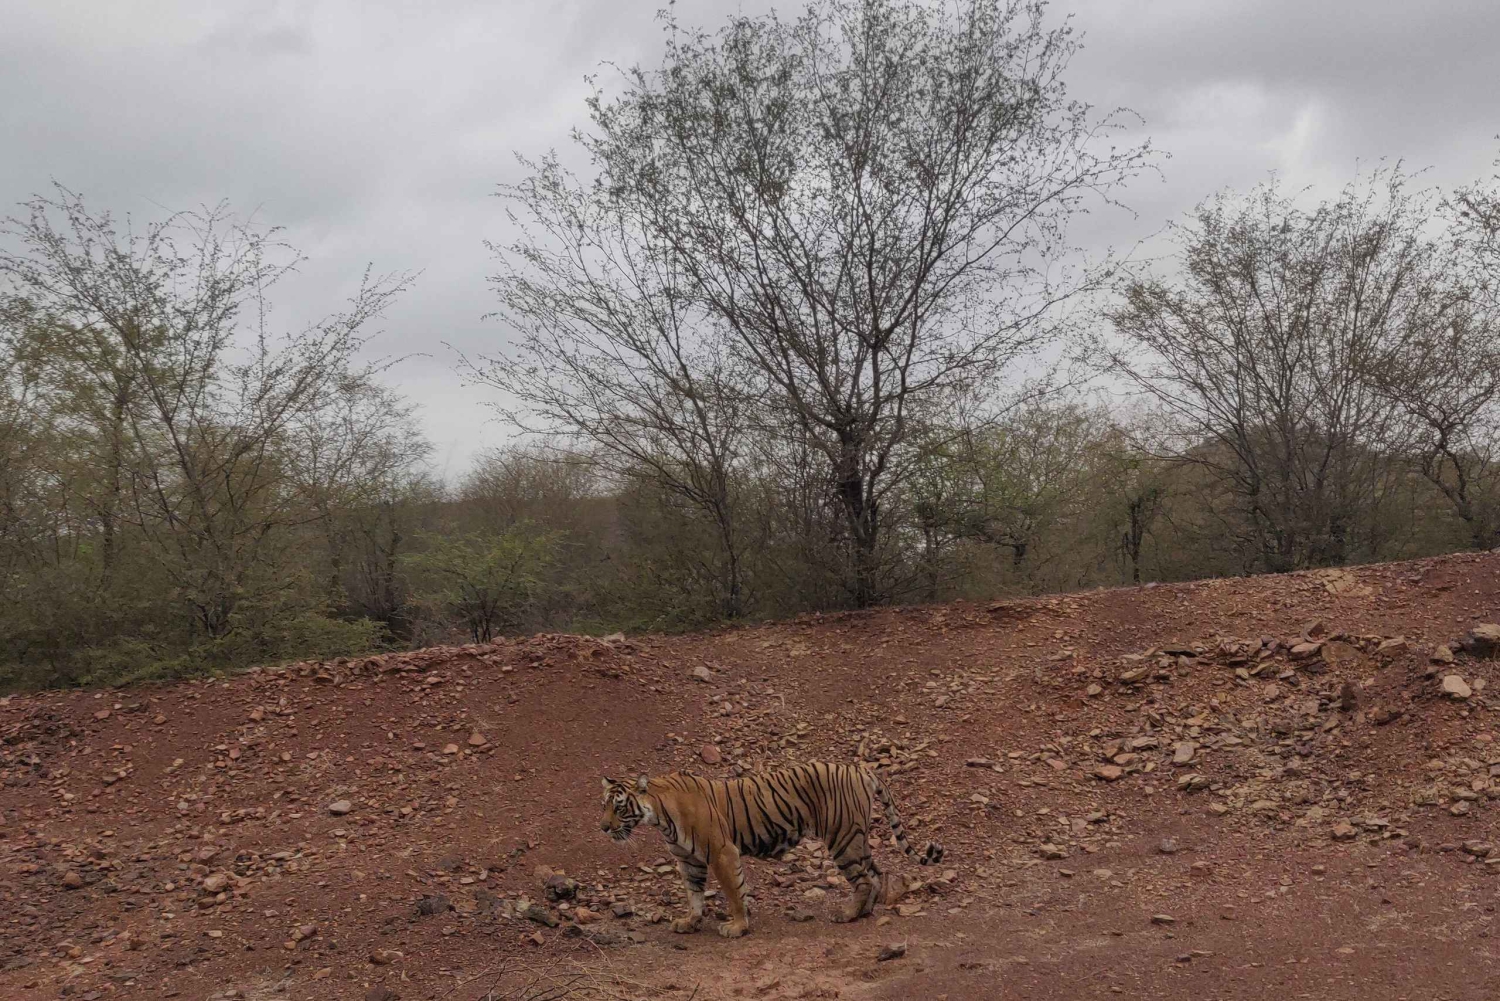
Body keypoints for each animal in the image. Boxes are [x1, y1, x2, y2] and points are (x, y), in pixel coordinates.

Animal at [600, 761, 943, 938]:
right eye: (603, 805)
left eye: (619, 807)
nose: (602, 827)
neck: (659, 815)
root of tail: (861, 768)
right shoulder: (689, 861)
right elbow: (694, 894)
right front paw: (689, 922)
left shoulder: (722, 852)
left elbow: (734, 892)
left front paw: (737, 926)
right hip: (856, 839)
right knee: (876, 873)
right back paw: (865, 912)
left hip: (842, 838)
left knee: (862, 879)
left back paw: (846, 914)